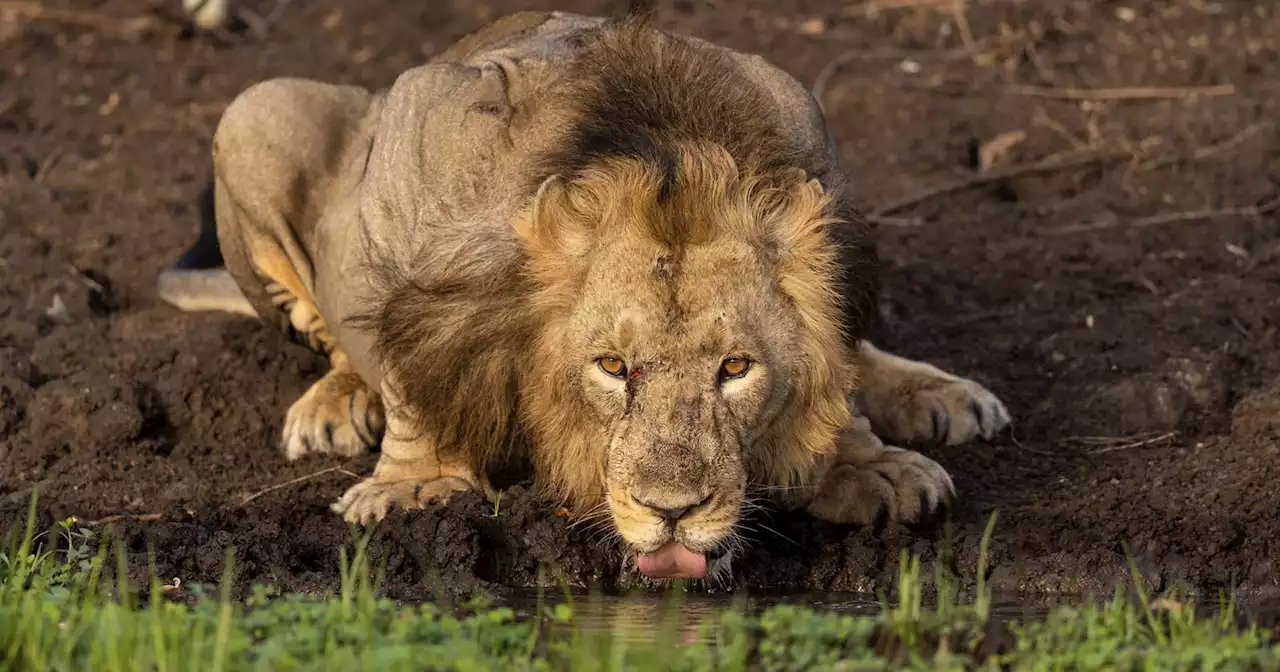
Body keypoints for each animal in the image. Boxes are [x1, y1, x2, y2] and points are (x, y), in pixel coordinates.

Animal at [154, 1, 1008, 581]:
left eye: (735, 369)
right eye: (611, 367)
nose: (673, 514)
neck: (666, 148)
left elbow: (836, 366)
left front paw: (865, 463)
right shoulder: (408, 163)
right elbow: (409, 370)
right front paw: (419, 486)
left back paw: (943, 394)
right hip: (256, 108)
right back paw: (334, 406)